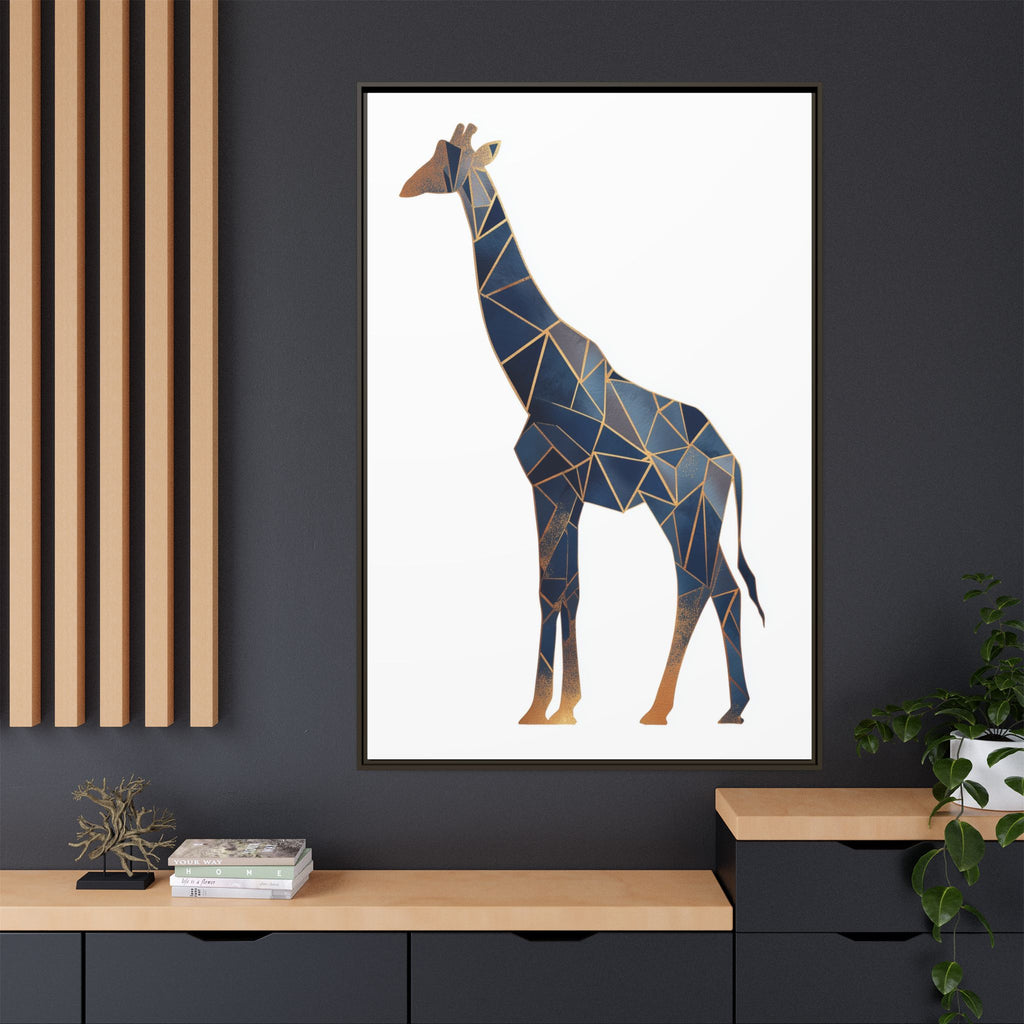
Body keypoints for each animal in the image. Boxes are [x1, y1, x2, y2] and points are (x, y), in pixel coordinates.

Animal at [400, 123, 765, 726]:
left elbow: (551, 589)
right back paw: (733, 708)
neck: (534, 375)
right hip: (699, 515)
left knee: (695, 586)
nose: (407, 186)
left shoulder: (551, 484)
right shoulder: (565, 494)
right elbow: (567, 589)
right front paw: (561, 706)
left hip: (679, 510)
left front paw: (544, 709)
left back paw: (659, 709)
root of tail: (730, 460)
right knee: (725, 589)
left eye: (446, 159)